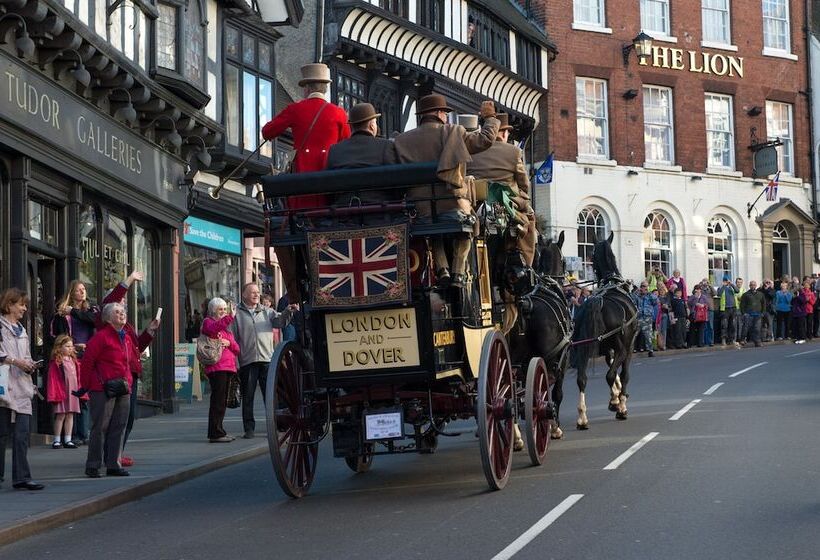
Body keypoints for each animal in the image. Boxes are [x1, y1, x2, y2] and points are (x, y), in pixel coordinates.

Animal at [572, 232, 640, 428]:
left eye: (592, 255)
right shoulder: (629, 347)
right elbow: (623, 375)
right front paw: (619, 401)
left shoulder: (606, 348)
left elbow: (613, 369)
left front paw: (615, 397)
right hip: (622, 347)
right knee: (610, 375)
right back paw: (620, 407)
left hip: (581, 347)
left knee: (582, 379)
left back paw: (582, 417)